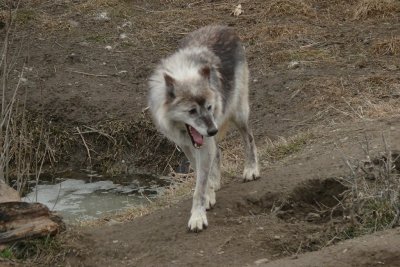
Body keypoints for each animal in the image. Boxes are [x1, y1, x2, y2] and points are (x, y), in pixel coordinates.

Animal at [147, 24, 260, 232]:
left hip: (239, 114)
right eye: (192, 111)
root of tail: (222, 26)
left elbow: (198, 187)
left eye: (208, 107)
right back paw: (215, 183)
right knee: (218, 153)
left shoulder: (204, 142)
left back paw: (251, 169)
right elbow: (201, 176)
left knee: (249, 138)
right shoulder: (187, 146)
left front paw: (197, 217)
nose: (213, 131)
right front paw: (209, 195)